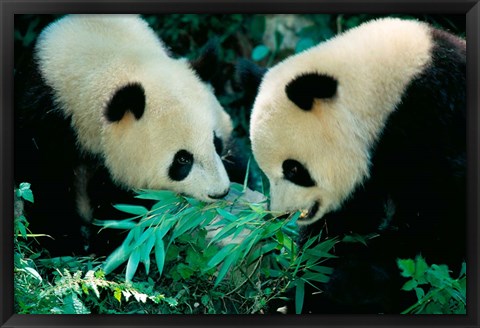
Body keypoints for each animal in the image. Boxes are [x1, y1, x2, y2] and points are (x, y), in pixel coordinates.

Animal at [14, 14, 240, 256]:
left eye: (217, 143)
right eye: (182, 159)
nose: (220, 193)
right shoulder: (46, 120)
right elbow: (46, 185)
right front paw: (68, 244)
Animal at [244, 17, 464, 312]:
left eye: (293, 169)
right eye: (265, 173)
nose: (280, 213)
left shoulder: (433, 127)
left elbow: (435, 223)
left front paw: (351, 286)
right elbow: (342, 224)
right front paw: (302, 289)